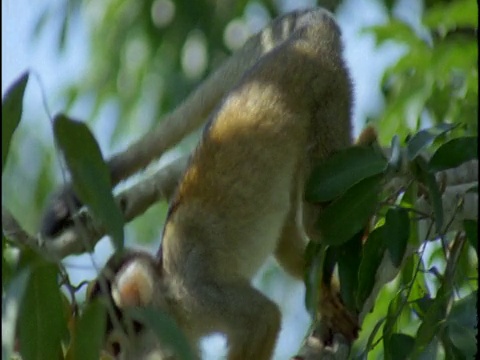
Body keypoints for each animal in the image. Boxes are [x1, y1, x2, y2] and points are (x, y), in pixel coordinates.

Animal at [46, 6, 376, 360]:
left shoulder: (198, 297)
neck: (167, 288)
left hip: (328, 95)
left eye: (117, 347)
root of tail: (306, 35)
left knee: (318, 222)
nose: (114, 359)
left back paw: (371, 155)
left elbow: (263, 318)